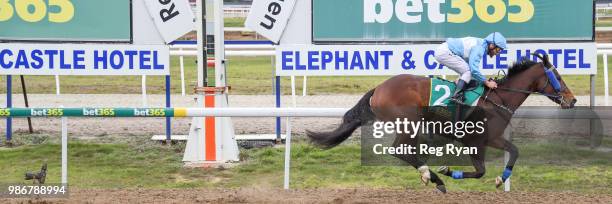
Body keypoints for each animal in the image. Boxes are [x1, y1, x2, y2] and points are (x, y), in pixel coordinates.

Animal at [308, 53, 576, 192]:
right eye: (558, 77)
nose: (572, 100)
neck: (498, 98)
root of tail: (379, 88)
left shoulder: (493, 138)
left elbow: (514, 151)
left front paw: (502, 178)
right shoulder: (475, 142)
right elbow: (480, 171)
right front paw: (447, 171)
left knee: (403, 151)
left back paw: (431, 177)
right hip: (409, 122)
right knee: (399, 150)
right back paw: (432, 176)